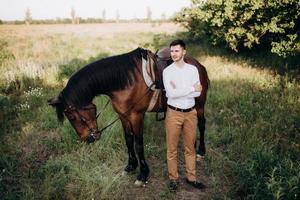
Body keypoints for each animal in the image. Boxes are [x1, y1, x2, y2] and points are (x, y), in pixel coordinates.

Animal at [48, 47, 209, 185]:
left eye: (72, 117)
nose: (88, 139)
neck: (124, 81)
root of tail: (198, 64)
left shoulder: (136, 116)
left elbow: (138, 144)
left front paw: (143, 174)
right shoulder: (123, 116)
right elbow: (128, 139)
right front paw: (131, 166)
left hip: (200, 105)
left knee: (201, 124)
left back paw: (201, 151)